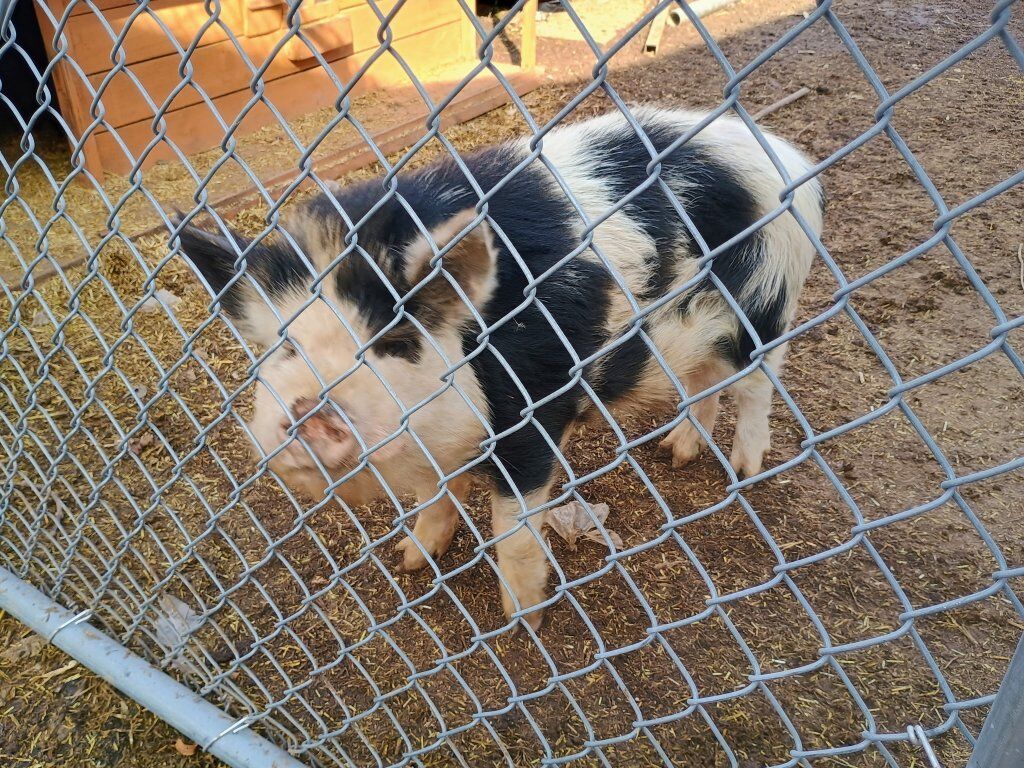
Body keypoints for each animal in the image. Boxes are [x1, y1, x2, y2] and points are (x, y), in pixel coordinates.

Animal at [175, 107, 824, 630]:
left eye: (398, 340)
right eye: (284, 346)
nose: (311, 410)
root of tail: (787, 155)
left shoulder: (530, 412)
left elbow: (512, 529)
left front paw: (523, 622)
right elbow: (433, 497)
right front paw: (413, 561)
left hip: (768, 305)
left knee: (758, 386)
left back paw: (742, 470)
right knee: (701, 382)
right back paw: (676, 452)